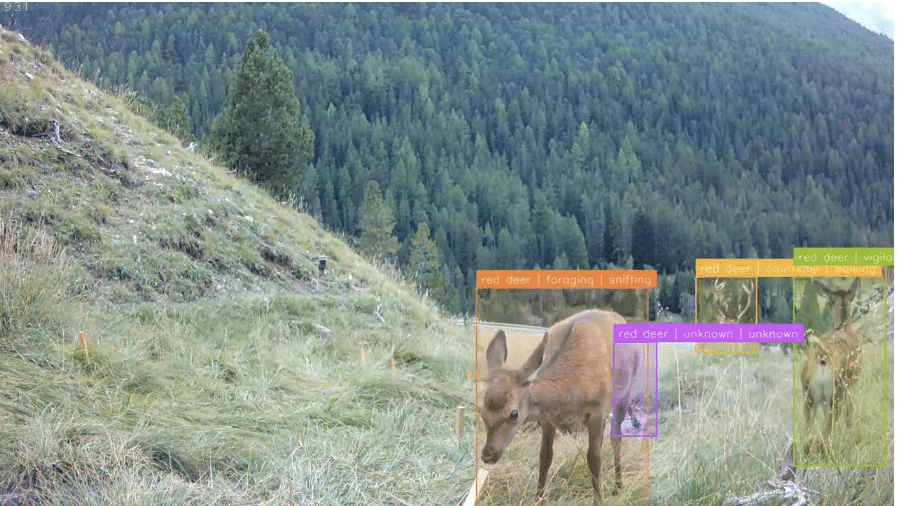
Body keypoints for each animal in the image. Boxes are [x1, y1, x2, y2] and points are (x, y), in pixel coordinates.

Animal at [479, 309, 646, 502]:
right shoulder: (546, 419)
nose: (488, 455)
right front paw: (538, 499)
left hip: (624, 395)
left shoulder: (597, 410)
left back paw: (617, 487)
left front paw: (599, 499)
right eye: (481, 411)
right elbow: (545, 457)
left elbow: (594, 459)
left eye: (514, 413)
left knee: (616, 439)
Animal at [800, 278, 861, 454]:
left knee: (808, 437)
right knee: (825, 434)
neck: (844, 326)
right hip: (838, 391)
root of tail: (822, 356)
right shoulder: (853, 386)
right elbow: (849, 418)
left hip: (808, 394)